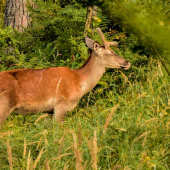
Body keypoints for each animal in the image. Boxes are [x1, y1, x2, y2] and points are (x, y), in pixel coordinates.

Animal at [0, 27, 131, 124]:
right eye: (110, 53)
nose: (127, 62)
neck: (78, 81)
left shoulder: (49, 111)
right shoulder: (61, 104)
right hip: (3, 106)